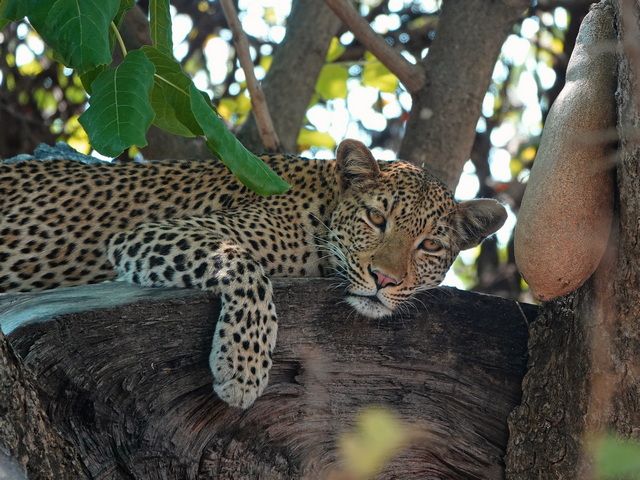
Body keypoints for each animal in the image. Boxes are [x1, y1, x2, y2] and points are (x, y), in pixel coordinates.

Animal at [0, 139, 507, 408]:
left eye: (430, 245)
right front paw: (243, 367)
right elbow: (244, 264)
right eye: (376, 219)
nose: (384, 279)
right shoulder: (152, 234)